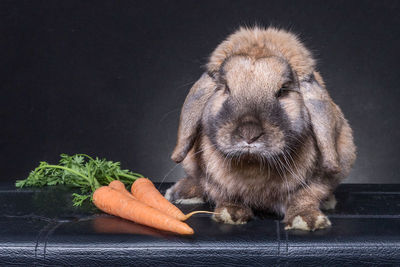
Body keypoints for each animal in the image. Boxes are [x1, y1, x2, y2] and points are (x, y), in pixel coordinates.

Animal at [166, 27, 356, 232]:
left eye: (282, 91)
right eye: (225, 88)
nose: (249, 134)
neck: (253, 164)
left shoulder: (318, 180)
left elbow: (305, 197)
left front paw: (306, 220)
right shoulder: (214, 181)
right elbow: (224, 195)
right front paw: (231, 213)